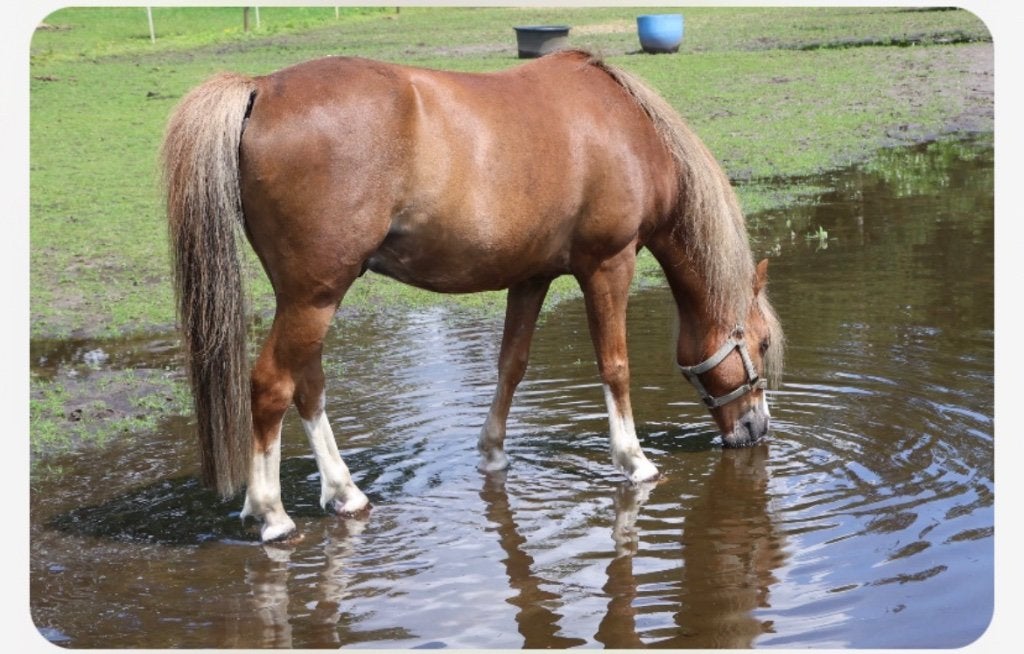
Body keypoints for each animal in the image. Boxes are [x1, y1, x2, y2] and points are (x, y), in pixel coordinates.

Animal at [162, 49, 784, 542]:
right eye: (760, 343)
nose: (757, 431)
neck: (627, 130)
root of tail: (261, 88)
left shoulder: (532, 276)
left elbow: (512, 364)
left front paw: (492, 453)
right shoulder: (609, 264)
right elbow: (615, 365)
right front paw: (634, 460)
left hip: (310, 297)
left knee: (307, 386)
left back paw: (345, 493)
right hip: (314, 295)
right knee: (271, 385)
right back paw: (270, 513)